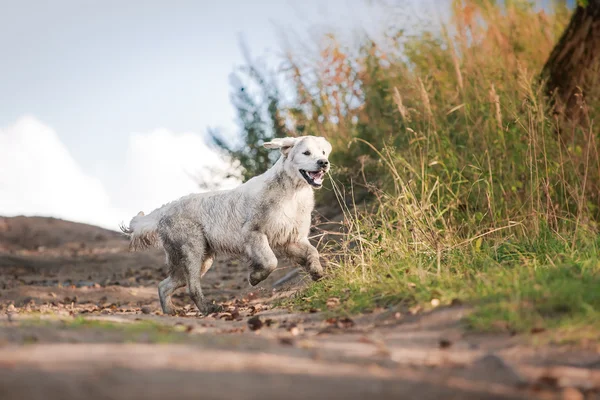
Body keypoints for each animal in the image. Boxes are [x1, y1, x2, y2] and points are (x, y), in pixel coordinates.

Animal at [119, 136, 330, 314]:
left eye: (323, 152)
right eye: (306, 153)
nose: (324, 163)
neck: (293, 193)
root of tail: (165, 210)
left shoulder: (292, 239)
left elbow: (313, 252)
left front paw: (317, 272)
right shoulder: (254, 233)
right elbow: (271, 262)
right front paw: (255, 277)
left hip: (199, 260)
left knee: (164, 285)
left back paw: (171, 311)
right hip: (193, 251)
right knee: (192, 287)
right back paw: (208, 308)